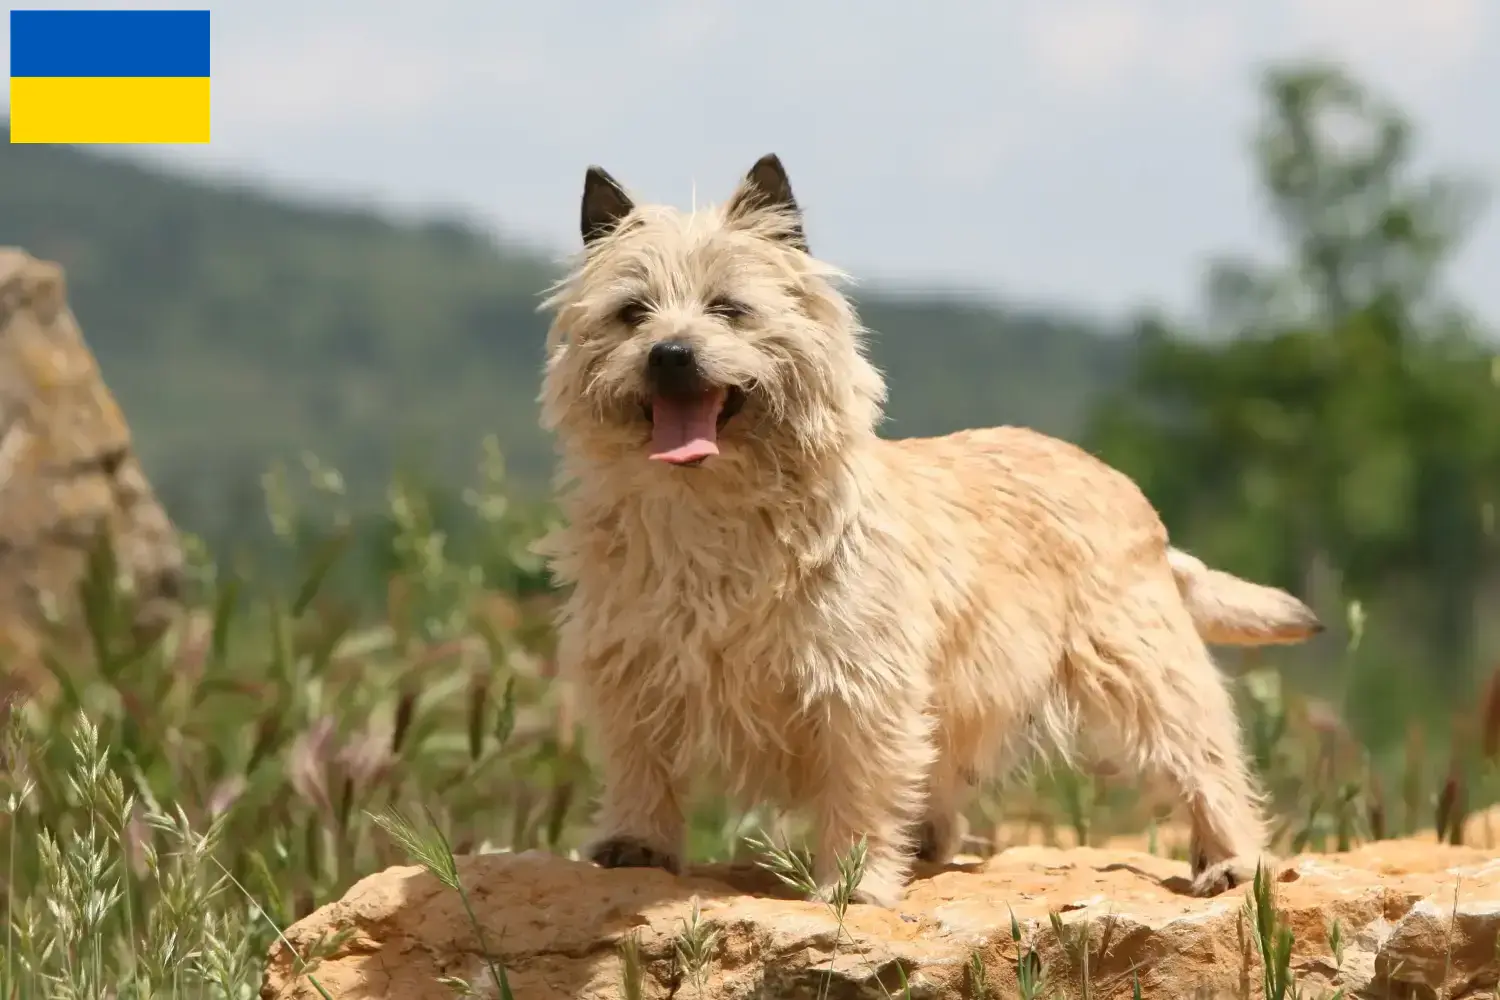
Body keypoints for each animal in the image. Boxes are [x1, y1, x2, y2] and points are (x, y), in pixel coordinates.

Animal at [540, 150, 1326, 905]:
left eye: (729, 309)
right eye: (632, 313)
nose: (670, 354)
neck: (711, 507)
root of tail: (1130, 493)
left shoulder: (859, 686)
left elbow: (861, 784)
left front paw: (852, 881)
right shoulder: (632, 669)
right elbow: (641, 762)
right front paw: (636, 845)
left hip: (1144, 668)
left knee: (1205, 759)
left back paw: (1230, 861)